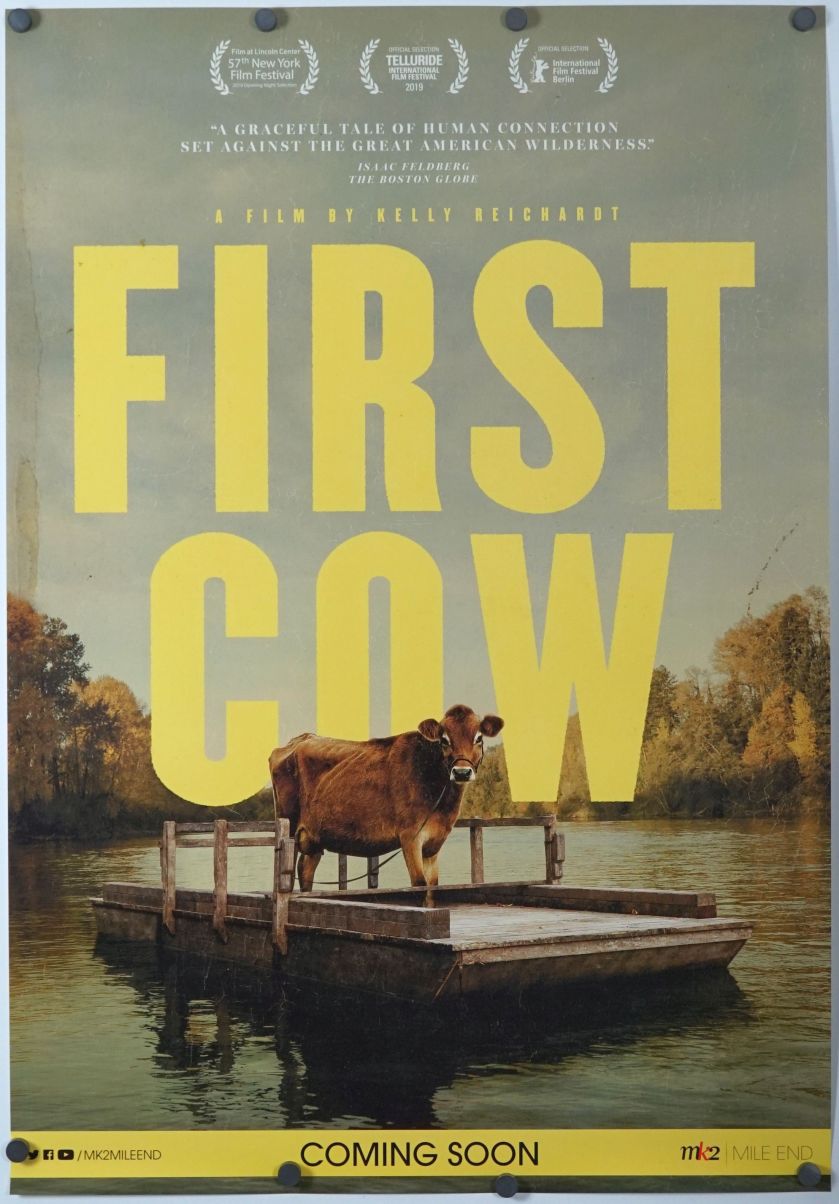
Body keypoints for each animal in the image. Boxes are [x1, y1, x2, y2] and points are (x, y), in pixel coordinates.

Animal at [268, 704, 504, 891]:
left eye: (479, 738)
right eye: (444, 740)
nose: (461, 772)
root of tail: (299, 740)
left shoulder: (434, 843)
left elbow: (432, 885)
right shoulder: (410, 836)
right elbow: (419, 883)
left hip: (314, 837)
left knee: (305, 871)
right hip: (289, 826)